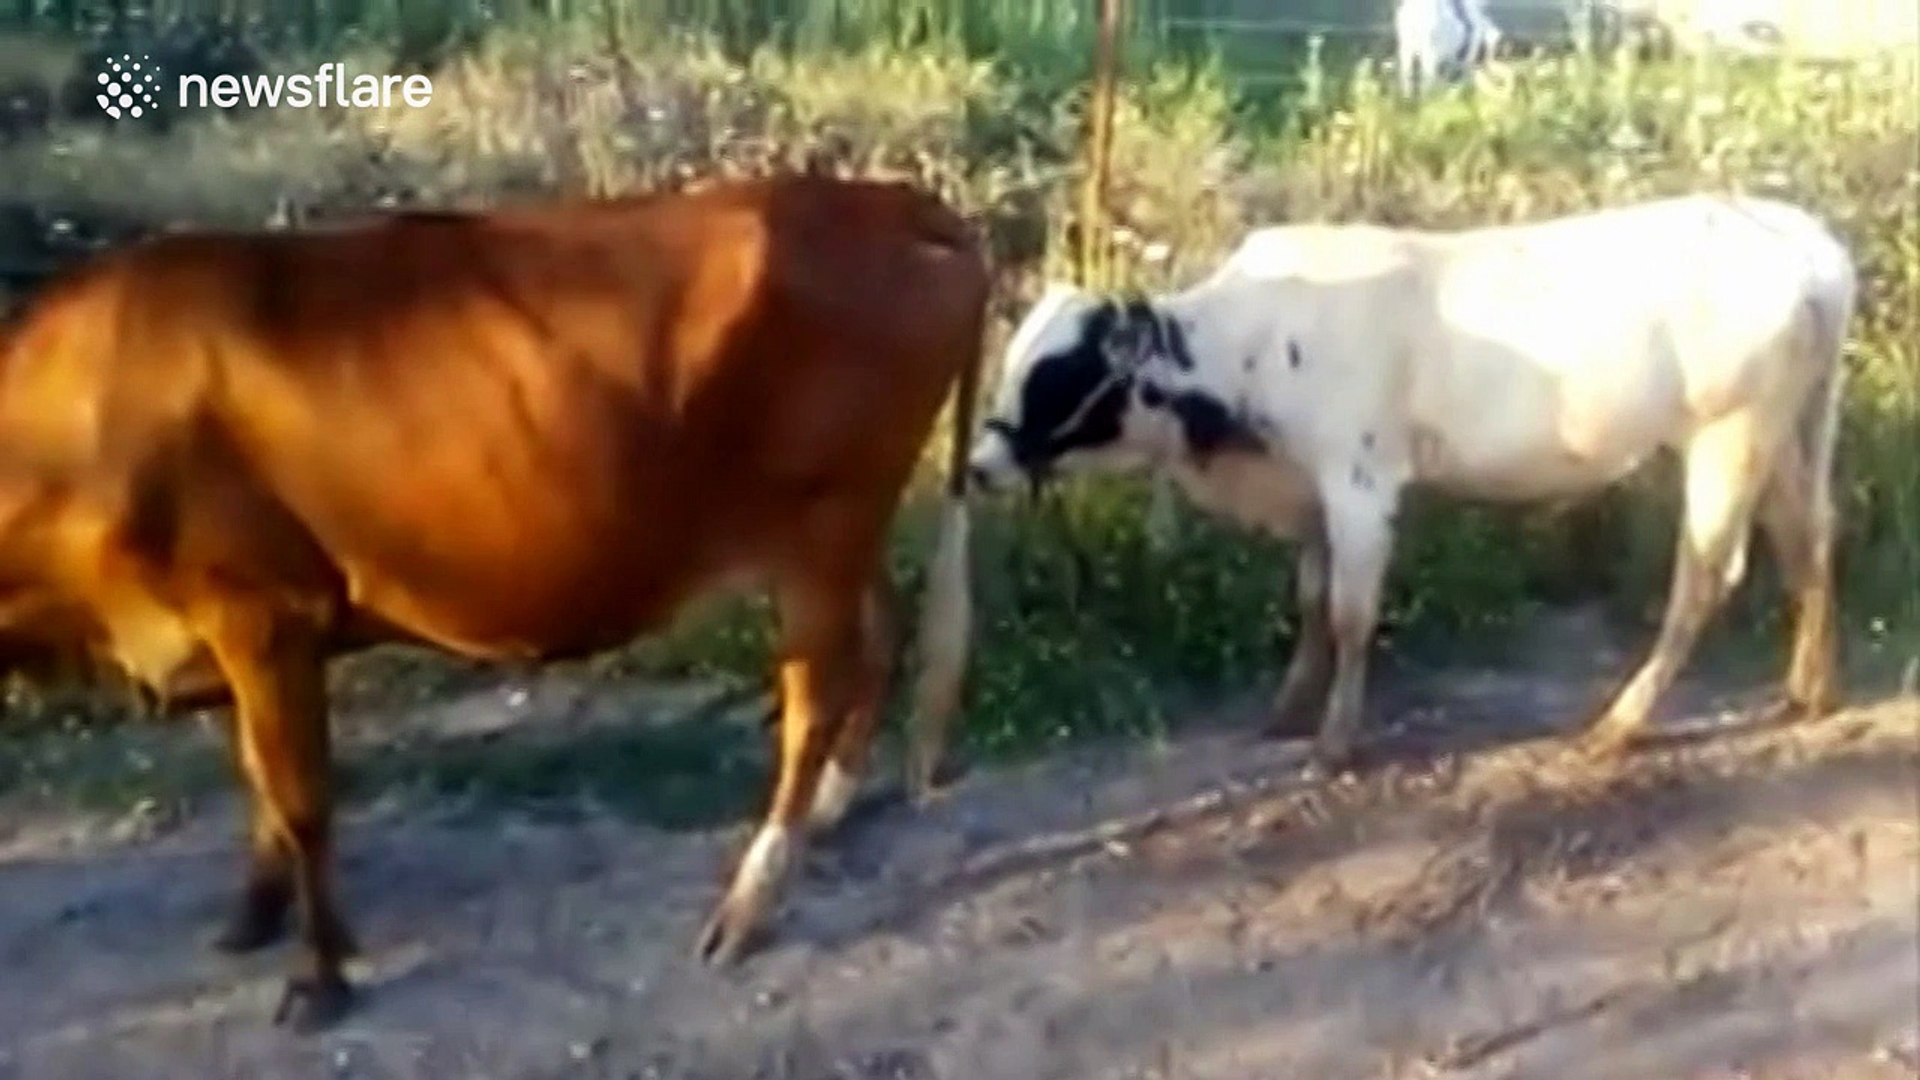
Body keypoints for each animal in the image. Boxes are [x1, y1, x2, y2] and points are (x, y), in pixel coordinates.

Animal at [0, 174, 986, 1029]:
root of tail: (892, 199)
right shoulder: (228, 636)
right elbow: (259, 783)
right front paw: (253, 918)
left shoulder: (264, 611)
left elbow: (300, 799)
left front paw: (320, 980)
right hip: (845, 532)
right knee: (882, 634)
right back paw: (833, 811)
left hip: (825, 522)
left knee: (814, 698)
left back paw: (749, 904)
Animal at [958, 194, 1853, 782]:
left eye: (1059, 375)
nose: (976, 465)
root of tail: (1807, 241)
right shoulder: (1311, 494)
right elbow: (1311, 599)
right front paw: (1288, 710)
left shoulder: (1358, 482)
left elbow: (1352, 615)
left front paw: (1334, 742)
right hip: (1784, 434)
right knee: (1809, 538)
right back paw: (1809, 689)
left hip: (1729, 435)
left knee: (1705, 578)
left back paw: (1621, 723)